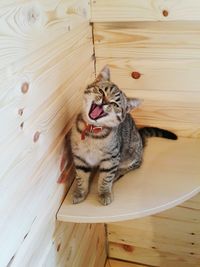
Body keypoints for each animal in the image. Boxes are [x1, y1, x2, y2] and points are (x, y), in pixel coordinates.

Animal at [70, 66, 177, 206]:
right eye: (101, 91)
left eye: (115, 104)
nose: (104, 101)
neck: (92, 133)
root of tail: (139, 136)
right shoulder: (80, 158)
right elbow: (81, 177)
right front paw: (80, 192)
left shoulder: (111, 158)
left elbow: (105, 178)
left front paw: (104, 193)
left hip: (131, 155)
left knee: (134, 165)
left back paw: (118, 174)